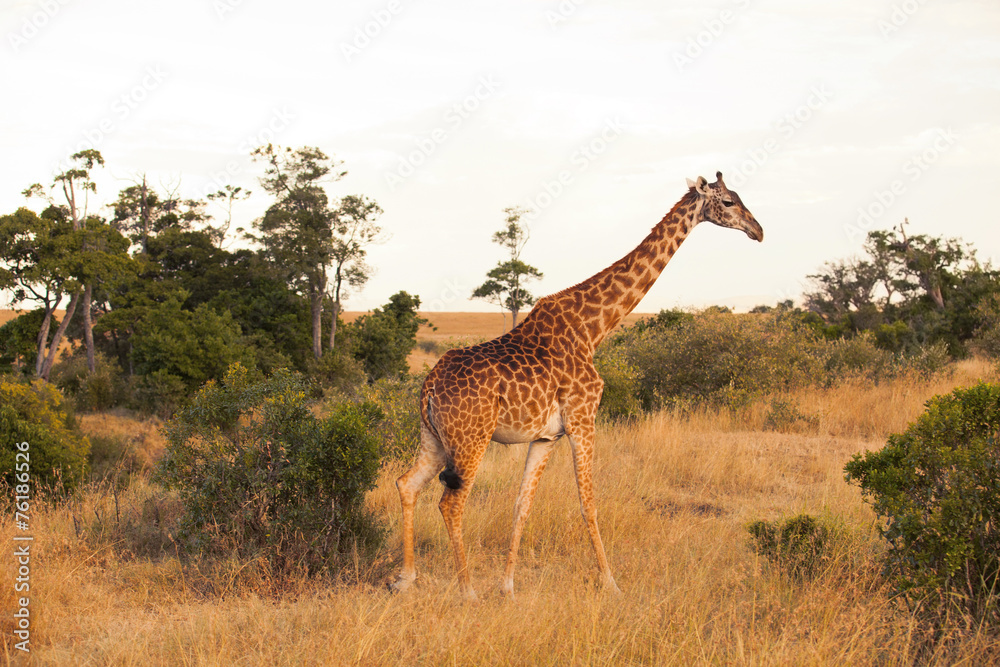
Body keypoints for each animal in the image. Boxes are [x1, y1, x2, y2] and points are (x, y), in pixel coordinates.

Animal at [392, 172, 763, 599]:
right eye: (730, 202)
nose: (758, 231)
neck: (594, 327)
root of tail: (428, 388)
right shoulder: (584, 419)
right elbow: (589, 502)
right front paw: (612, 583)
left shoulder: (546, 436)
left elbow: (522, 505)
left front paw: (509, 587)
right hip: (471, 439)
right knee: (451, 503)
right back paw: (467, 590)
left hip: (433, 437)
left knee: (406, 484)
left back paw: (406, 579)